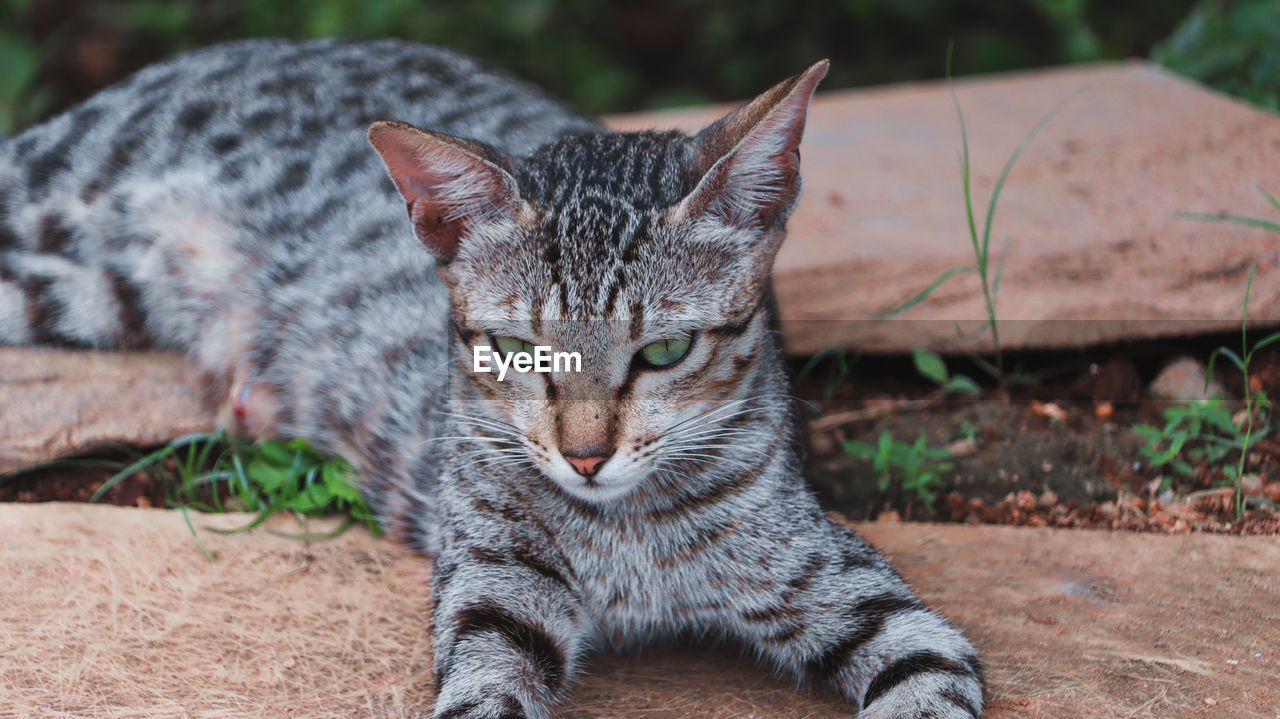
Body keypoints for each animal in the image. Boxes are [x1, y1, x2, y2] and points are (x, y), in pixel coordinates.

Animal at [0, 37, 977, 716]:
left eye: (664, 352)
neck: (624, 533)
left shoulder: (859, 594)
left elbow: (928, 673)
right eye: (515, 348)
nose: (585, 457)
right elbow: (485, 685)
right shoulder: (493, 590)